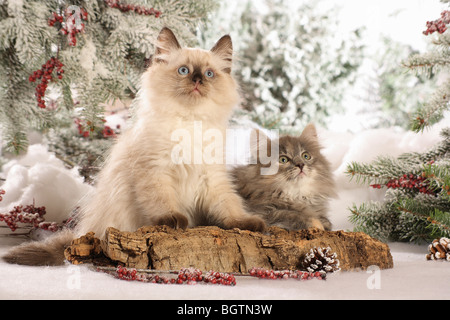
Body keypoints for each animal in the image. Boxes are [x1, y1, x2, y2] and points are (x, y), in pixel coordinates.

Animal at [2, 28, 264, 266]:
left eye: (209, 74)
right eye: (184, 71)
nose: (198, 80)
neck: (189, 123)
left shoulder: (212, 178)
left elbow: (229, 206)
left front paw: (248, 223)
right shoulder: (155, 172)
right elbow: (163, 202)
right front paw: (174, 221)